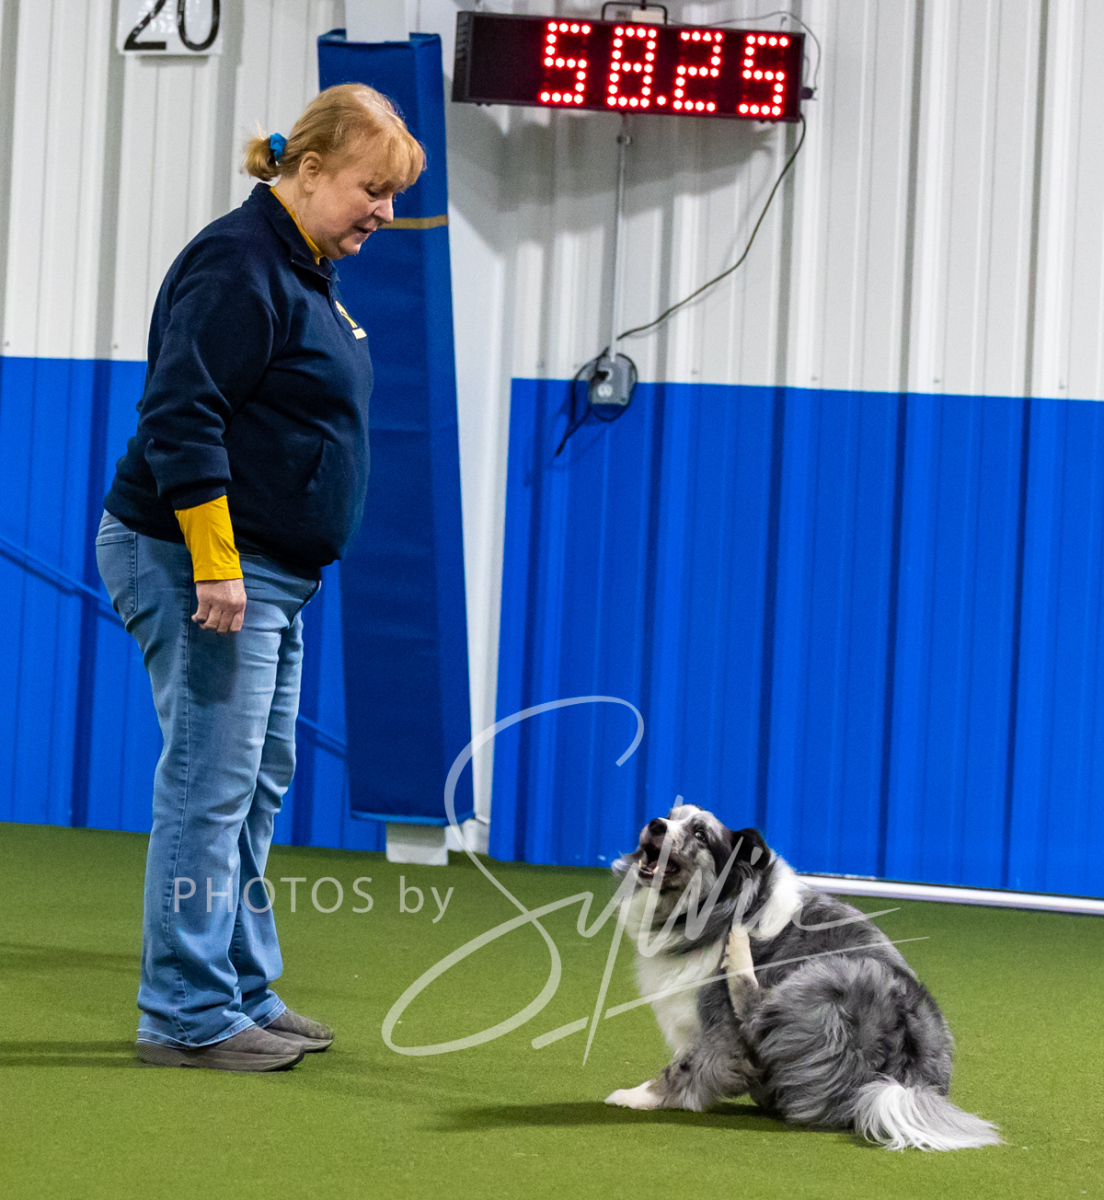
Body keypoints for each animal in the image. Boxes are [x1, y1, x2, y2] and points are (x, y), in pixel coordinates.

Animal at [604, 803, 1000, 1151]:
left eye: (700, 833)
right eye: (670, 816)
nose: (655, 824)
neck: (725, 906)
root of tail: (908, 1079)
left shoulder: (722, 1030)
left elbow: (683, 1067)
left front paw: (636, 1096)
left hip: (826, 977)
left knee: (756, 1011)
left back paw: (739, 950)